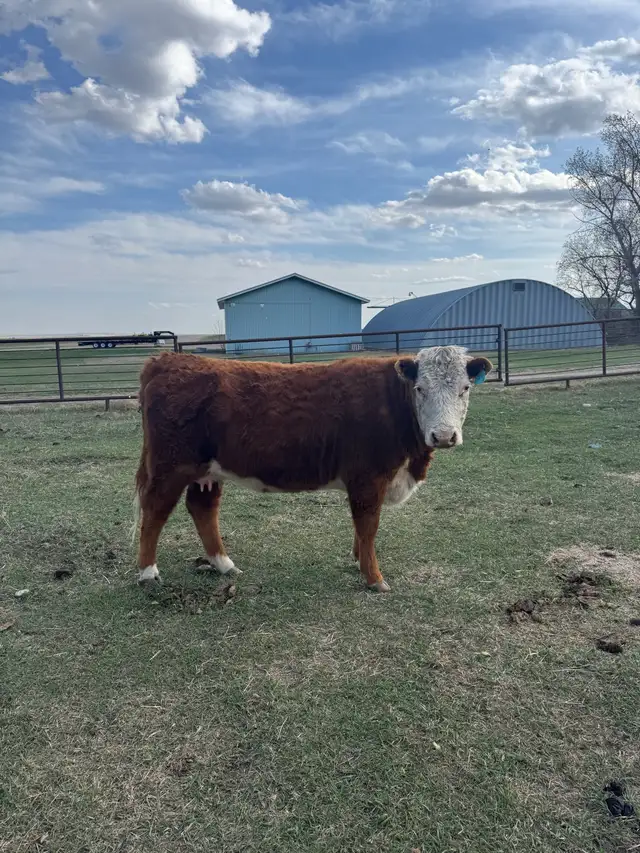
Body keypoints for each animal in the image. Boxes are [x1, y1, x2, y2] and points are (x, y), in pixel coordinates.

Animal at [134, 346, 492, 592]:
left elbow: (362, 528)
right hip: (171, 466)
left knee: (202, 508)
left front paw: (359, 560)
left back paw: (224, 565)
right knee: (154, 511)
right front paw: (374, 578)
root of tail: (166, 360)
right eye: (421, 389)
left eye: (465, 388)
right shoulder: (368, 477)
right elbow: (369, 525)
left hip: (207, 470)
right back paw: (148, 573)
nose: (443, 436)